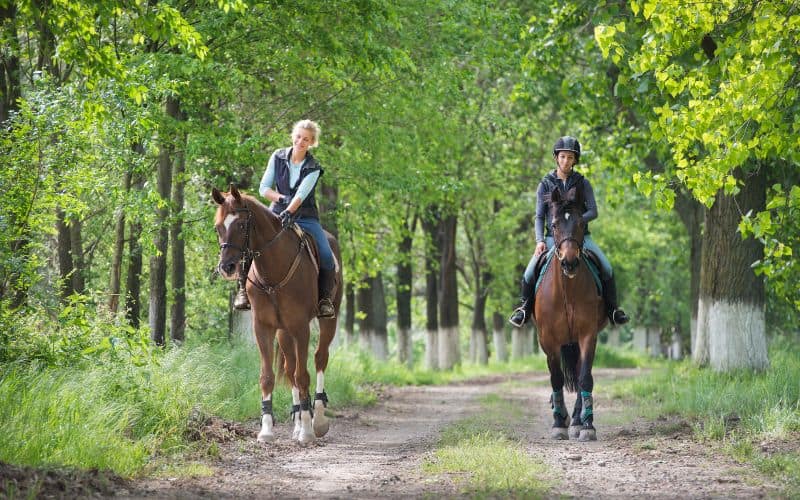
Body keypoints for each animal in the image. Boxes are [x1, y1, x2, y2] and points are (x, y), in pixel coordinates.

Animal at [211, 185, 342, 446]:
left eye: (241, 225)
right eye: (218, 226)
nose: (227, 267)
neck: (273, 270)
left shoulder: (300, 327)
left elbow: (303, 375)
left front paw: (307, 431)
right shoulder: (263, 327)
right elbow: (269, 377)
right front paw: (267, 431)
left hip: (328, 320)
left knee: (319, 358)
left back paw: (318, 420)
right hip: (283, 333)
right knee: (290, 368)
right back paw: (298, 422)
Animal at [536, 186, 608, 440]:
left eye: (580, 223)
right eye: (554, 224)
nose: (569, 263)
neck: (567, 290)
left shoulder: (588, 335)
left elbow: (584, 377)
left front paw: (588, 426)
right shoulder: (548, 339)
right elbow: (556, 378)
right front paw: (559, 423)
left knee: (579, 375)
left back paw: (577, 420)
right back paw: (566, 417)